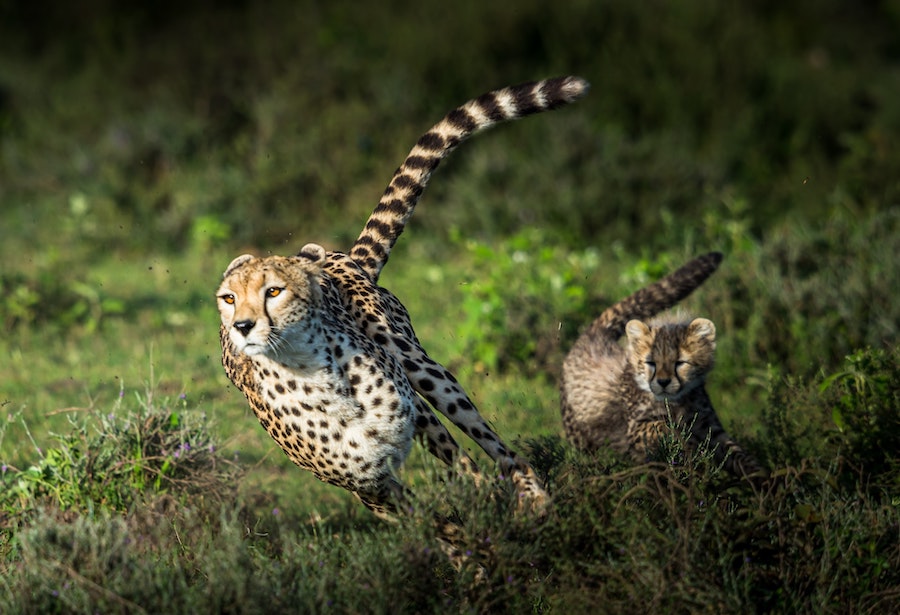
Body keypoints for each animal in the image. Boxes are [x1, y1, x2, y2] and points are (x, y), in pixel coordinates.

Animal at [560, 253, 764, 478]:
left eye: (680, 362)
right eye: (650, 362)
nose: (663, 382)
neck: (677, 401)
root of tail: (594, 335)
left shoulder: (709, 428)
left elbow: (738, 454)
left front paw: (764, 479)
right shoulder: (634, 430)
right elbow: (664, 427)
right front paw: (687, 447)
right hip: (581, 438)